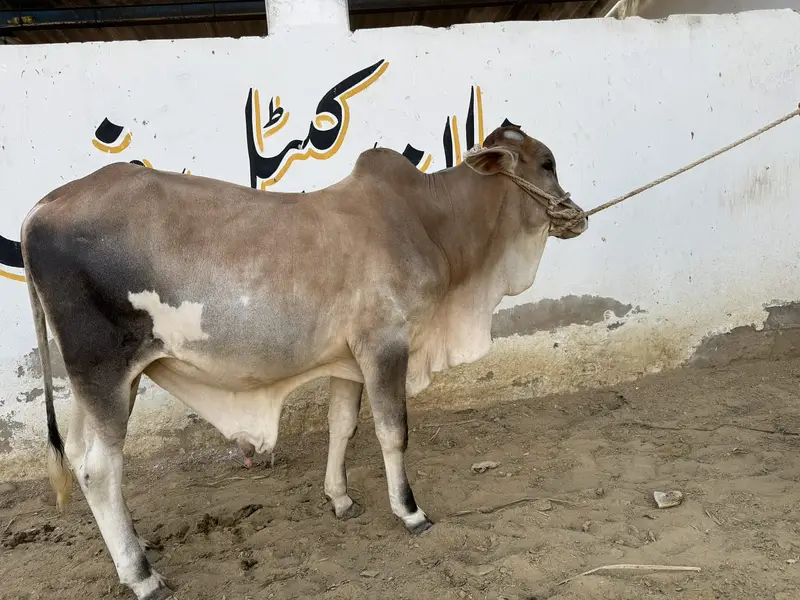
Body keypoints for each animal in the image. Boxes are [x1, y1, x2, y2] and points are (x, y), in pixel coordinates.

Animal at [20, 124, 587, 599]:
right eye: (548, 162)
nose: (577, 214)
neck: (429, 221)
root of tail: (42, 207)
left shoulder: (347, 360)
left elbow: (343, 426)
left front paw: (340, 500)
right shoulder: (385, 344)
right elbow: (393, 432)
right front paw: (409, 511)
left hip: (96, 382)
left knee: (80, 457)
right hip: (106, 370)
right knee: (100, 470)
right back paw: (143, 576)